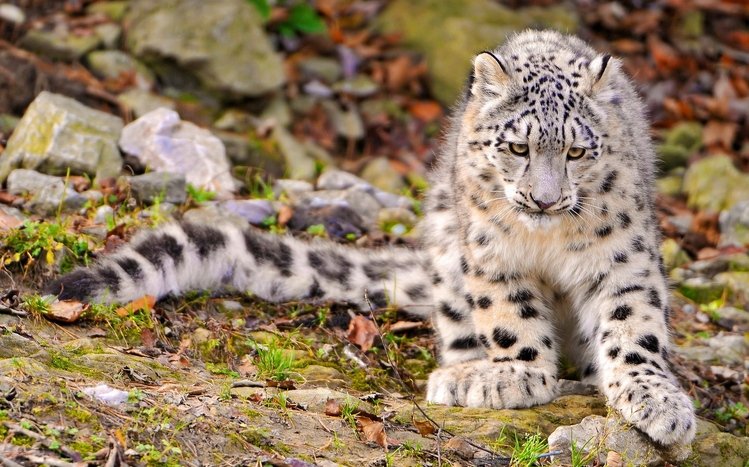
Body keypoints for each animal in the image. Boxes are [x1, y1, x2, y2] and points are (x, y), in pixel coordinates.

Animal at [48, 30, 696, 447]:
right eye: (517, 147)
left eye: (577, 152)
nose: (544, 199)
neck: (546, 242)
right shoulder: (492, 255)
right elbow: (510, 316)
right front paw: (517, 374)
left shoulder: (622, 257)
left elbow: (633, 325)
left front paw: (656, 401)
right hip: (447, 248)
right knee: (458, 323)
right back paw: (463, 374)